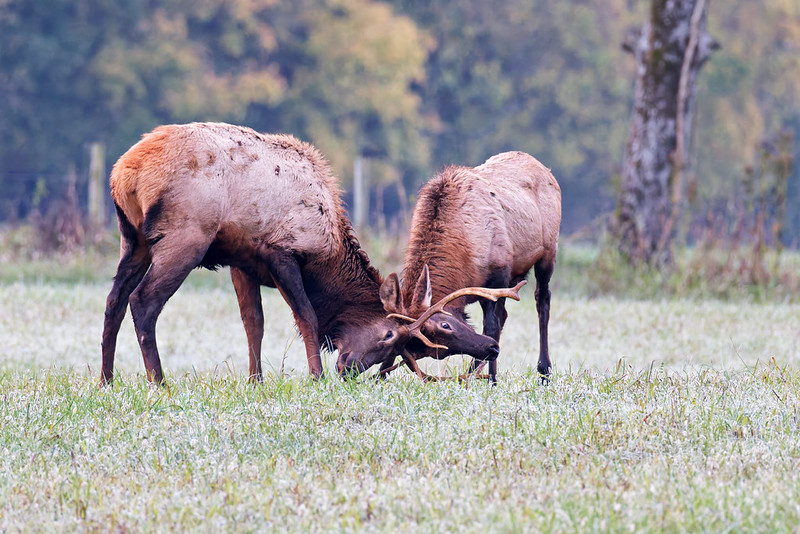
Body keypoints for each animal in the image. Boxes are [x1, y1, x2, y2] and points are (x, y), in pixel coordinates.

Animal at [100, 122, 512, 385]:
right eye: (389, 337)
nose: (348, 369)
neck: (327, 255)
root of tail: (124, 172)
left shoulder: (240, 261)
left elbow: (253, 323)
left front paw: (256, 381)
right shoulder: (282, 252)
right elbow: (307, 318)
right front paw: (314, 376)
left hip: (131, 239)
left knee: (113, 301)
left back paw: (106, 379)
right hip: (185, 236)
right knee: (143, 301)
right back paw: (158, 381)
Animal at [365, 151, 561, 383]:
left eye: (445, 325)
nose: (491, 350)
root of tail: (547, 171)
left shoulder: (499, 275)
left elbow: (491, 325)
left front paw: (492, 379)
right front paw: (379, 377)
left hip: (548, 255)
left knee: (542, 301)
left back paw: (544, 370)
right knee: (506, 314)